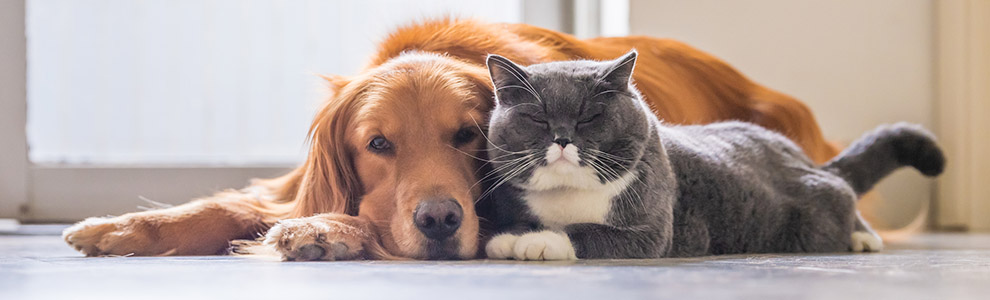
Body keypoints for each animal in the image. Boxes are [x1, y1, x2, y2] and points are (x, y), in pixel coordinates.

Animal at [60, 19, 836, 260]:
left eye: (467, 135)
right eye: (377, 145)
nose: (438, 221)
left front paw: (326, 232)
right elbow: (231, 204)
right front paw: (120, 228)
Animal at [484, 49, 948, 260]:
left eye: (589, 117)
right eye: (538, 118)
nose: (563, 138)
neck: (569, 195)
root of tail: (801, 156)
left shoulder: (652, 231)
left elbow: (585, 232)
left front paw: (533, 242)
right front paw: (511, 235)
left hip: (817, 208)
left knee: (844, 194)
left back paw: (863, 237)